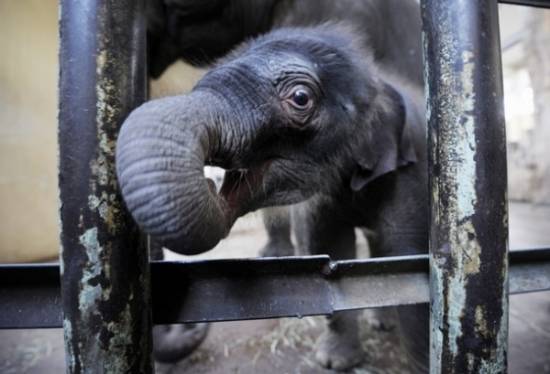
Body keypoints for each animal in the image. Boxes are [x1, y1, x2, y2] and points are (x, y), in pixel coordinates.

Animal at [117, 24, 432, 372]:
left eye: (300, 98)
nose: (211, 182)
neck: (376, 80)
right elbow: (330, 248)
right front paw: (335, 361)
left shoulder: (410, 178)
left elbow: (412, 267)